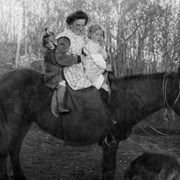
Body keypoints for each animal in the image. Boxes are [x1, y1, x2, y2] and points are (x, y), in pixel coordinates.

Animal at [0, 68, 180, 180]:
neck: (125, 100)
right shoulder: (111, 142)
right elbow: (108, 172)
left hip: (24, 122)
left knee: (14, 150)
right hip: (13, 123)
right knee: (5, 150)